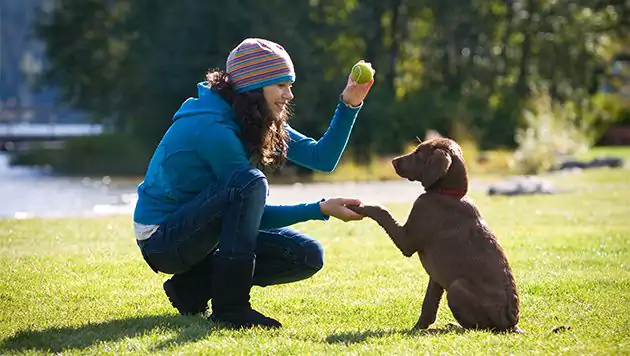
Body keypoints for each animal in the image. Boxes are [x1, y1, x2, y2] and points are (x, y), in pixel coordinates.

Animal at [350, 138, 524, 332]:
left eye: (419, 153)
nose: (393, 161)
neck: (449, 194)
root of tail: (511, 324)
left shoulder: (407, 240)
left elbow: (382, 211)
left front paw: (360, 206)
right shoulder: (436, 277)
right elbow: (429, 304)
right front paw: (419, 327)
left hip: (457, 287)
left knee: (478, 327)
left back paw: (455, 326)